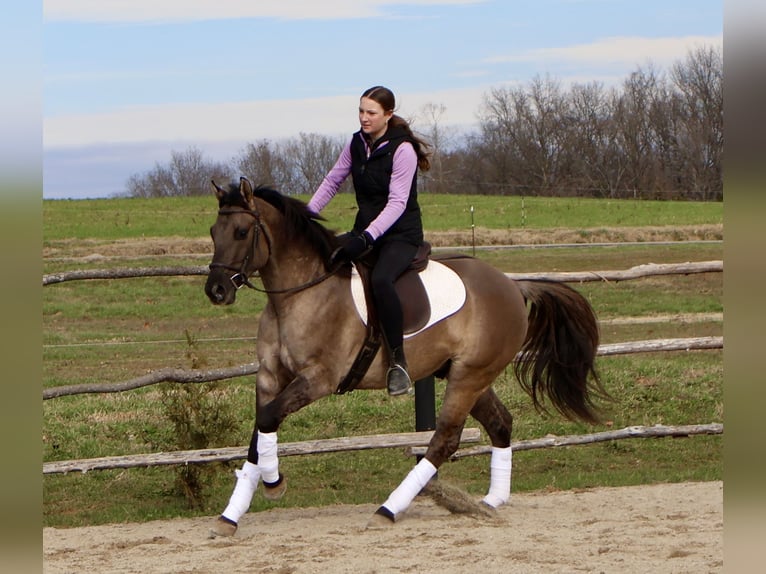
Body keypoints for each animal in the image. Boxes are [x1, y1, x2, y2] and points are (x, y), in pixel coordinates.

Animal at [202, 178, 608, 536]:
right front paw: (231, 515)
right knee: (500, 423)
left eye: (241, 232)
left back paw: (389, 509)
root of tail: (512, 284)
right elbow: (260, 430)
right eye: (213, 231)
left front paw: (274, 484)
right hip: (468, 375)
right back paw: (489, 503)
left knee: (445, 439)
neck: (298, 294)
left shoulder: (318, 379)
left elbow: (268, 420)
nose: (216, 291)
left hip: (470, 376)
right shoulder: (270, 376)